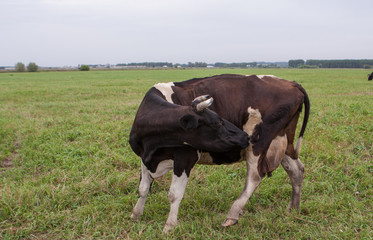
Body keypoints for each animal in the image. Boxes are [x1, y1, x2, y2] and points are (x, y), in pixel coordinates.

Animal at [129, 73, 310, 232]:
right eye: (217, 123)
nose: (244, 136)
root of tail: (292, 83)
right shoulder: (144, 158)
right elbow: (143, 188)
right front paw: (135, 215)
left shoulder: (185, 157)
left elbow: (174, 194)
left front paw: (169, 226)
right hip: (283, 142)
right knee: (296, 170)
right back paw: (293, 209)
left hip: (259, 142)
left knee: (254, 177)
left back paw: (232, 214)